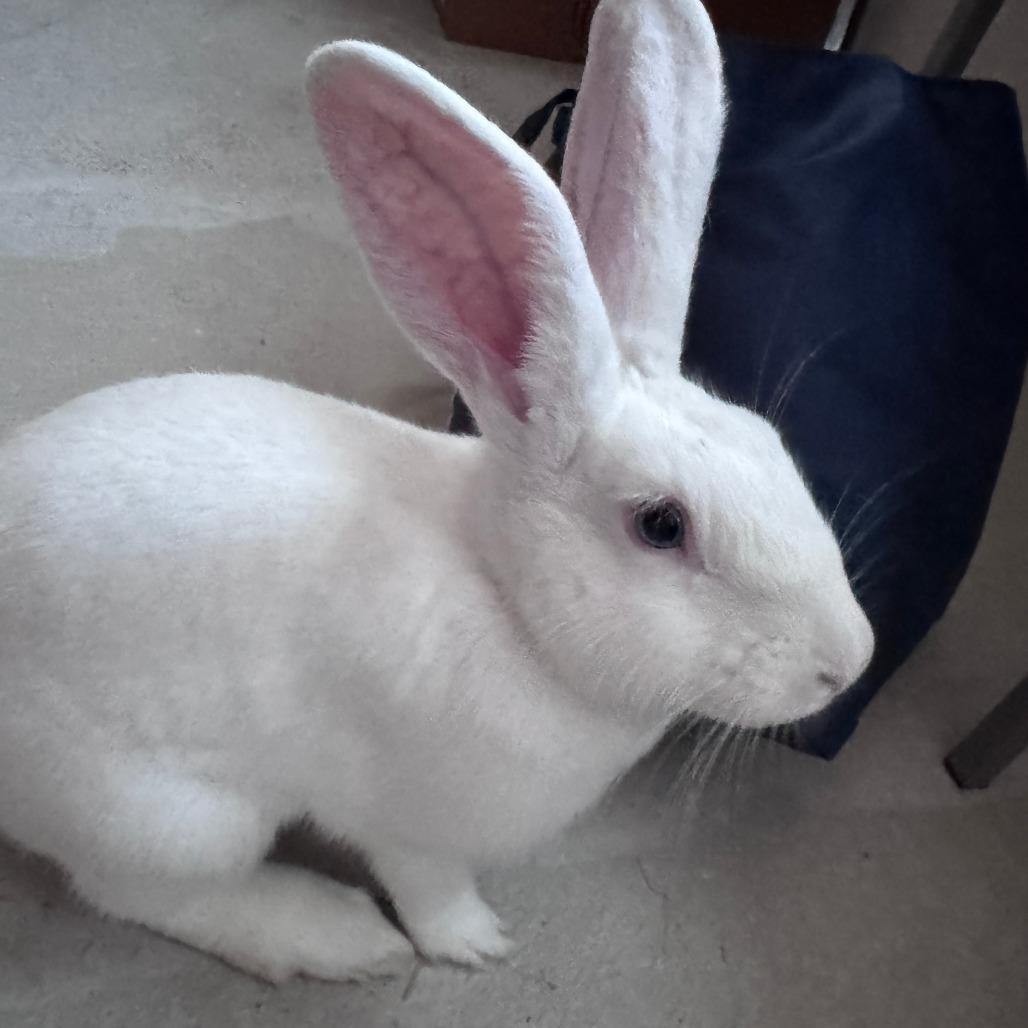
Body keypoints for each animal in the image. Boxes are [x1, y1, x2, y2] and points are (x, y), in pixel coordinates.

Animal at [0, 0, 873, 983]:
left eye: (772, 445)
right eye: (661, 525)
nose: (849, 662)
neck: (510, 603)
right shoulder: (410, 826)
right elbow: (429, 889)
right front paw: (476, 944)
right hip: (175, 817)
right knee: (139, 894)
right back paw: (340, 938)